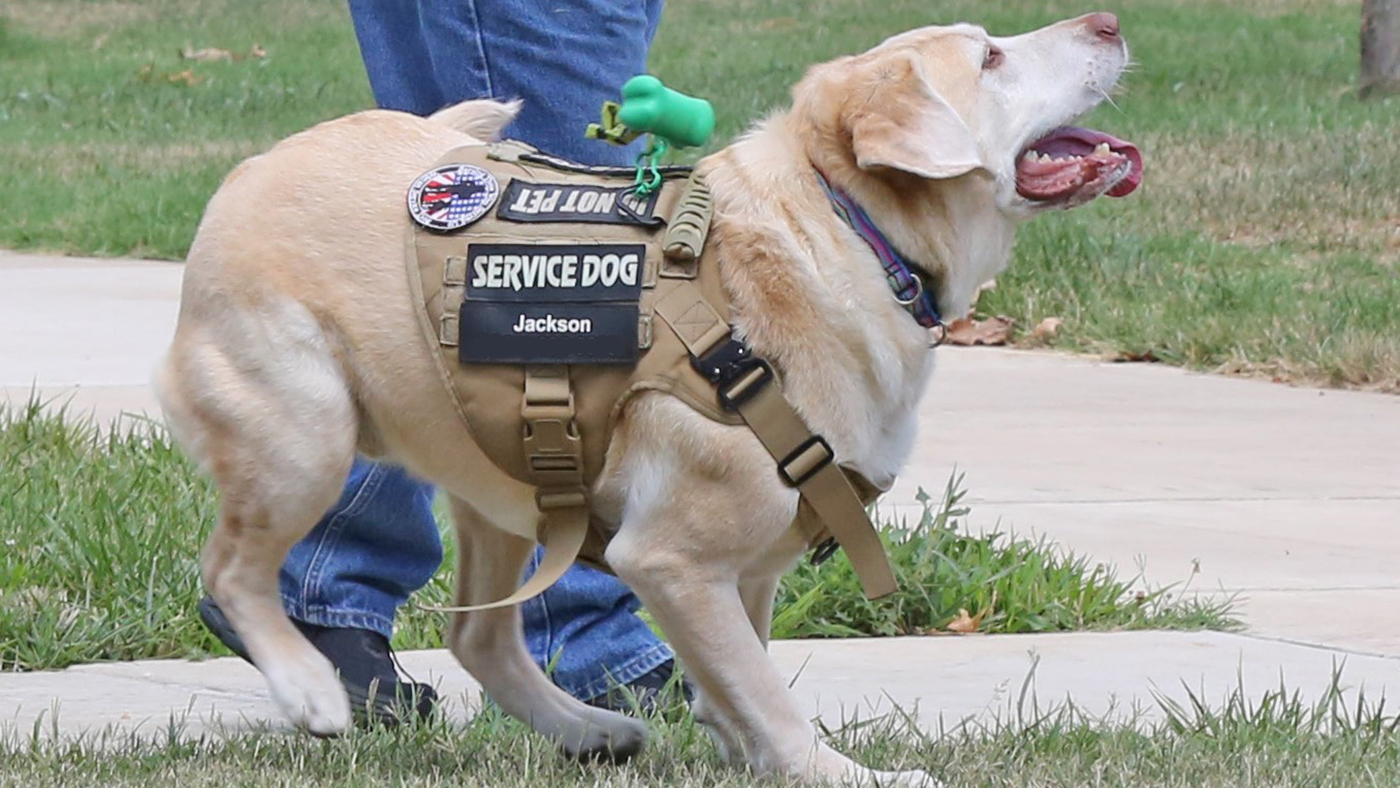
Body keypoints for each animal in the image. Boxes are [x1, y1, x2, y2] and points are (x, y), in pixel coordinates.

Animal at [158, 12, 1136, 788]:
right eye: (990, 59)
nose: (1110, 20)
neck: (848, 230)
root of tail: (260, 162)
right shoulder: (671, 558)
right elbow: (769, 698)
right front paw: (841, 773)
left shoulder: (748, 568)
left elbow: (743, 677)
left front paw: (736, 741)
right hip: (306, 431)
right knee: (232, 570)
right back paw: (311, 690)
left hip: (496, 477)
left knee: (482, 639)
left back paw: (585, 729)